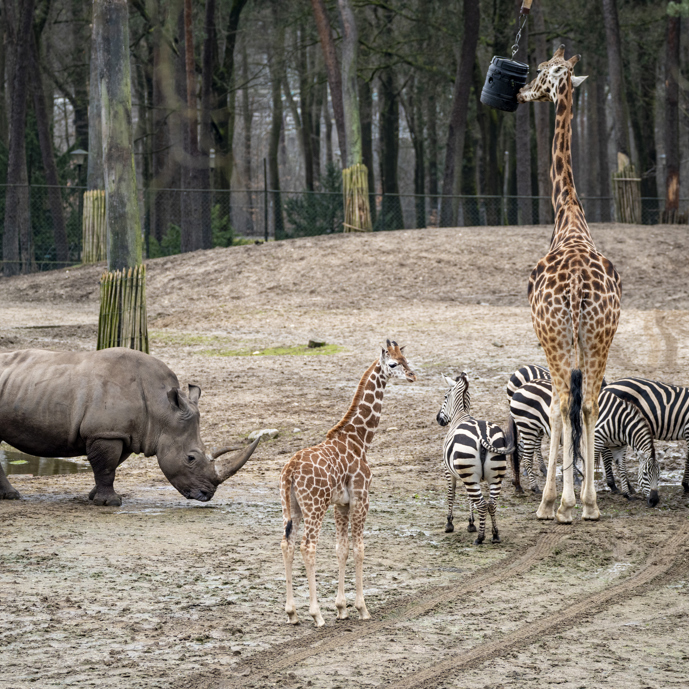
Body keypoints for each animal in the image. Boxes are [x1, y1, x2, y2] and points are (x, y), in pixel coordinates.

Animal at [437, 373, 514, 545]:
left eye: (445, 396)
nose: (438, 419)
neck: (461, 415)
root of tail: (483, 435)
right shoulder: (468, 475)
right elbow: (469, 498)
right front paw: (471, 523)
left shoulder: (448, 471)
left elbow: (451, 494)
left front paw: (449, 523)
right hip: (494, 476)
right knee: (491, 504)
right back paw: (495, 535)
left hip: (470, 476)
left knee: (482, 504)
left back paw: (480, 537)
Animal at [509, 379, 659, 505]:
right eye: (645, 474)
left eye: (658, 474)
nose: (654, 501)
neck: (620, 423)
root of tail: (521, 387)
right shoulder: (597, 440)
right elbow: (590, 466)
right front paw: (587, 494)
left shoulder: (619, 447)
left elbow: (622, 469)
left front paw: (627, 494)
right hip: (529, 427)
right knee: (528, 458)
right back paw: (534, 487)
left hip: (534, 430)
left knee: (520, 451)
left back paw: (518, 485)